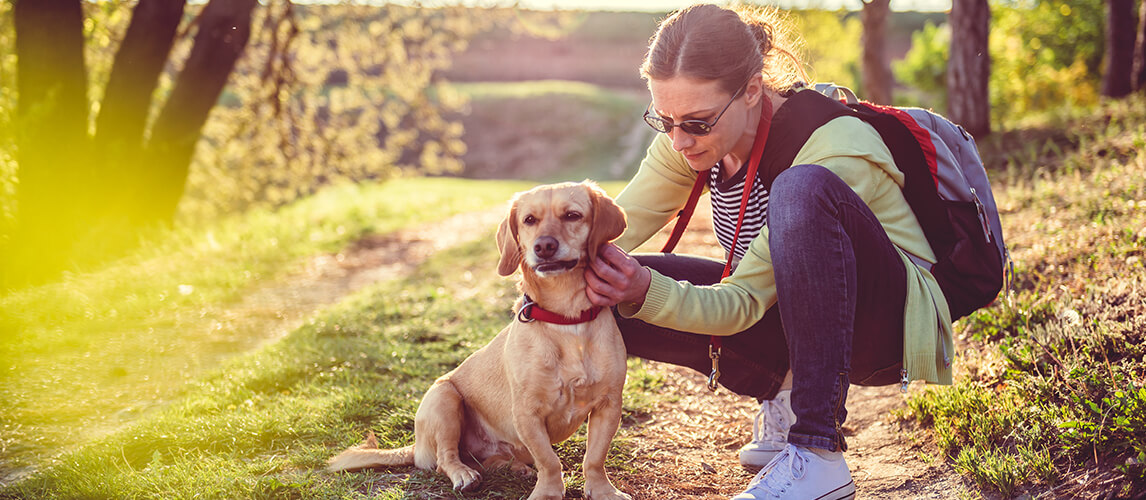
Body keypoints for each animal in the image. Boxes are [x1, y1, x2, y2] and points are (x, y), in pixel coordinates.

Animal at [330, 181, 637, 499]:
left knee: (493, 460)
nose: (544, 246)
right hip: (444, 398)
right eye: (529, 220)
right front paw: (548, 492)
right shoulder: (527, 413)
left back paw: (514, 468)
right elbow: (549, 461)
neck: (566, 319)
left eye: (573, 215)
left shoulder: (608, 405)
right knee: (446, 458)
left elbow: (594, 458)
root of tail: (416, 447)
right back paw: (464, 475)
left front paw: (603, 490)